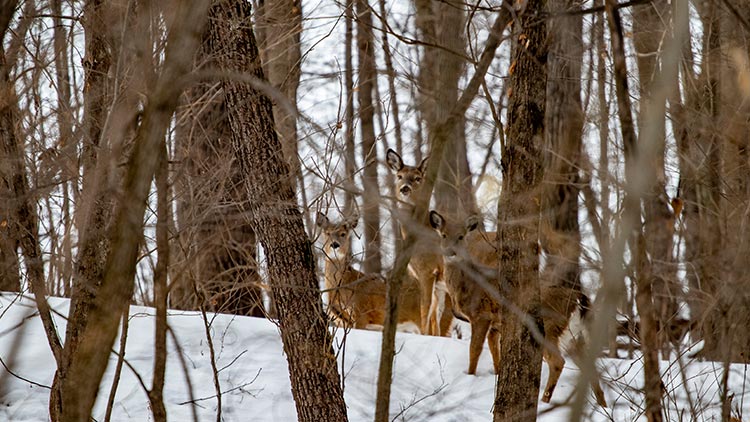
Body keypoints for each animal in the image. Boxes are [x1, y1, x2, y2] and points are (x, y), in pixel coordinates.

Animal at [388, 149, 452, 336]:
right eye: (399, 176)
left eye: (417, 178)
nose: (404, 188)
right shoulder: (439, 282)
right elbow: (435, 316)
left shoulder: (427, 269)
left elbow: (425, 308)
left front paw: (424, 335)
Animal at [432, 209, 608, 408]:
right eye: (443, 235)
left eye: (461, 236)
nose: (450, 252)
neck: (468, 283)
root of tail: (578, 297)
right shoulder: (496, 324)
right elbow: (495, 351)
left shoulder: (481, 315)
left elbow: (475, 349)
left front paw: (470, 375)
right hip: (573, 335)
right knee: (589, 367)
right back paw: (603, 406)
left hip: (548, 326)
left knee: (558, 362)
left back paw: (544, 401)